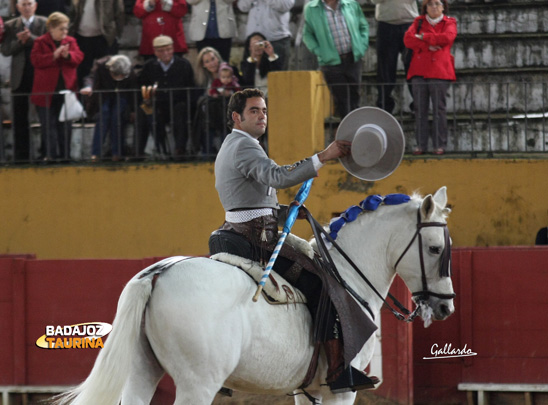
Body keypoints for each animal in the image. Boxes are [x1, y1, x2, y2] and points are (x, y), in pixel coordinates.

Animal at [57, 186, 456, 404]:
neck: (348, 275)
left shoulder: (306, 391)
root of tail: (156, 275)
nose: (445, 306)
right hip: (198, 383)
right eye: (435, 248)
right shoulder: (341, 391)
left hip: (141, 371)